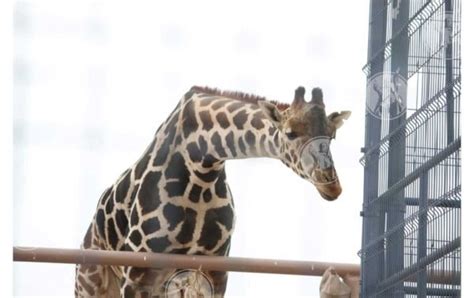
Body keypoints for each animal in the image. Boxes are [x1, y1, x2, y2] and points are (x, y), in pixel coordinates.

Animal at [73, 85, 348, 296]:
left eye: (332, 136)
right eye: (290, 133)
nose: (331, 184)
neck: (201, 170)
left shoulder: (214, 268)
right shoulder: (137, 270)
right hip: (91, 281)